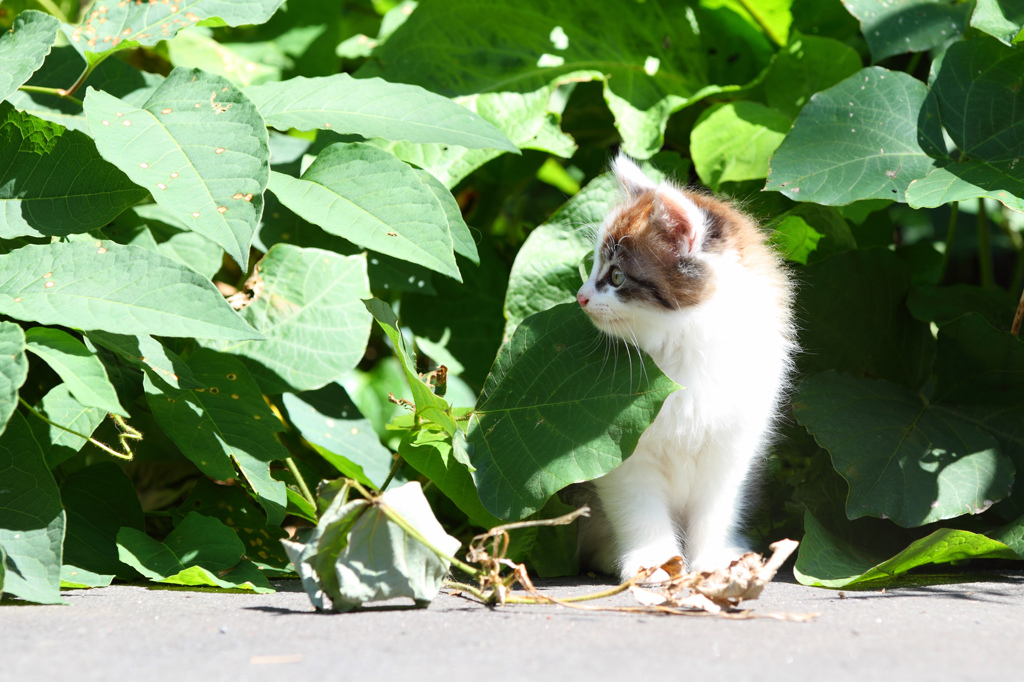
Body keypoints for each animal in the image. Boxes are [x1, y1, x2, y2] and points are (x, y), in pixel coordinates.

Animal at [577, 152, 790, 577]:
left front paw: (714, 560)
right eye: (593, 267)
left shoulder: (734, 445)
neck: (682, 350)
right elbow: (638, 507)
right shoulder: (621, 449)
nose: (581, 296)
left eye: (617, 276)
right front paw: (653, 560)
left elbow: (717, 507)